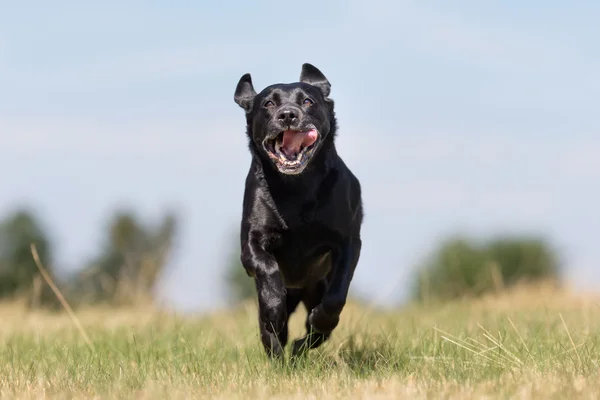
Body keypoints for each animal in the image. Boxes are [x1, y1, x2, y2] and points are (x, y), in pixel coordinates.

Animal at [233, 63, 366, 360]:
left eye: (307, 101)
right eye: (268, 103)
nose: (288, 115)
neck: (297, 189)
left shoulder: (348, 242)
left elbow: (336, 297)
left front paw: (319, 320)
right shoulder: (251, 243)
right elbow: (268, 269)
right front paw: (274, 309)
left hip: (314, 287)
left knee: (317, 332)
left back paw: (299, 346)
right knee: (271, 335)